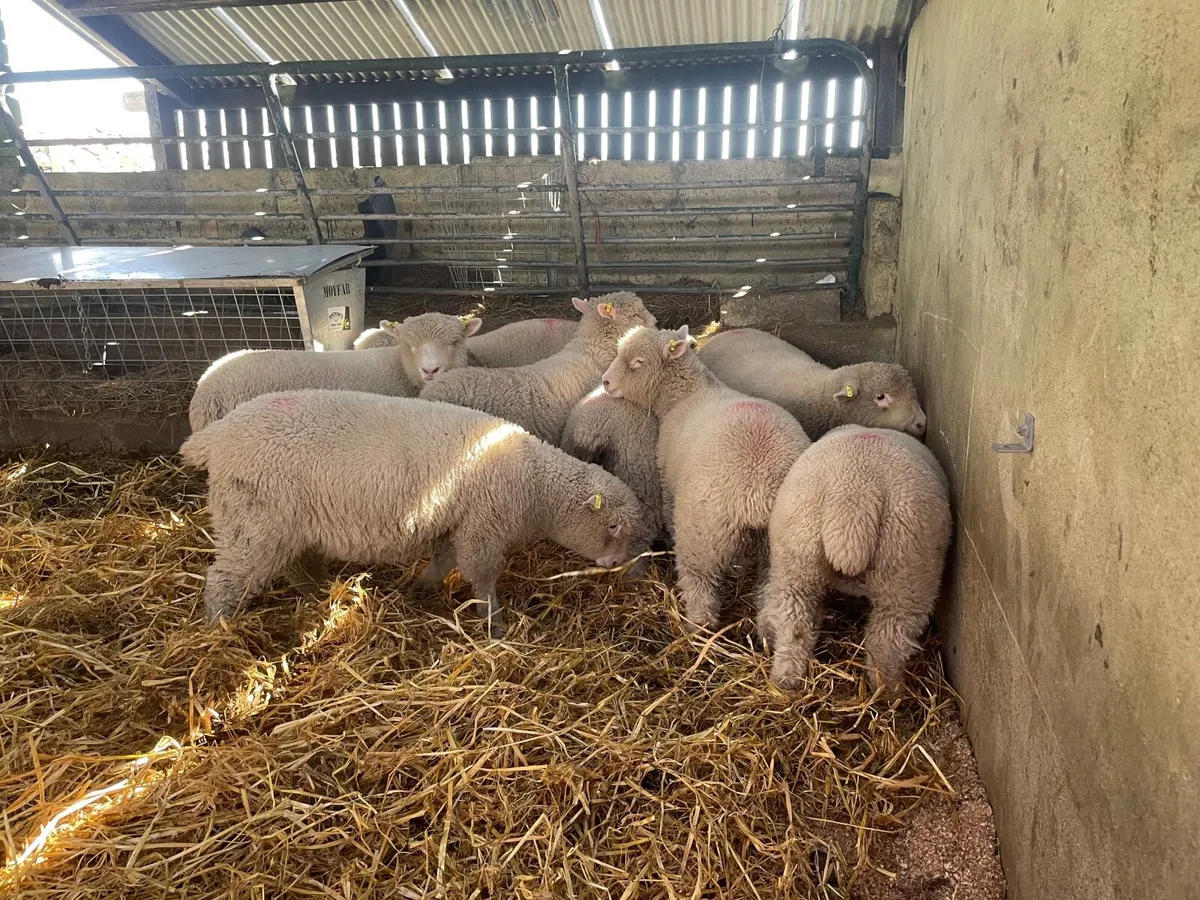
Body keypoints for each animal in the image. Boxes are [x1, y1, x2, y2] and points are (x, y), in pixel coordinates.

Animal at [179, 388, 646, 637]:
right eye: (612, 525)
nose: (618, 565)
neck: (534, 485)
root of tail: (214, 437)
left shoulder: (454, 522)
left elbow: (443, 561)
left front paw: (421, 588)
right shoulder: (483, 527)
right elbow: (482, 578)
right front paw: (494, 624)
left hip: (284, 524)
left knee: (292, 563)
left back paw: (317, 591)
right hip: (253, 522)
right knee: (224, 579)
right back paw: (219, 628)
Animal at [601, 325, 812, 632]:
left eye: (638, 362)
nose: (605, 382)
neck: (687, 395)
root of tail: (760, 491)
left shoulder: (667, 479)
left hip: (702, 535)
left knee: (699, 584)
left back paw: (696, 628)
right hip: (783, 554)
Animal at [756, 425, 952, 695]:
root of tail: (855, 493)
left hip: (797, 556)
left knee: (794, 624)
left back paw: (786, 680)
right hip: (908, 574)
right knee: (887, 641)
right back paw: (889, 693)